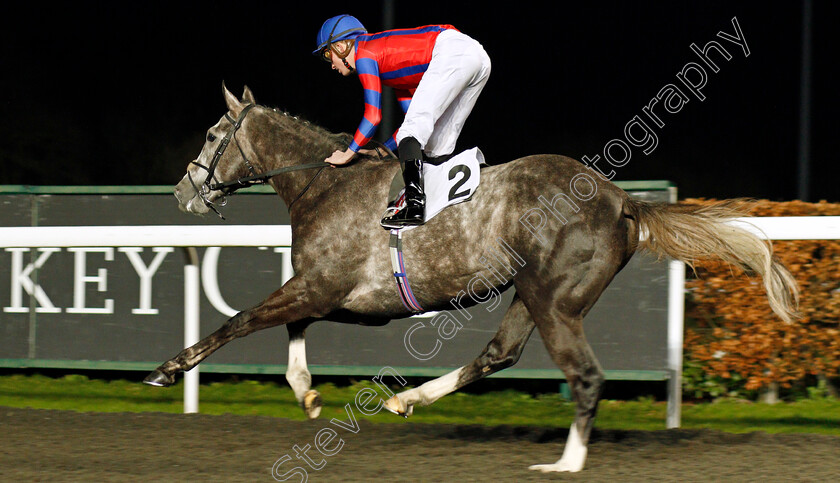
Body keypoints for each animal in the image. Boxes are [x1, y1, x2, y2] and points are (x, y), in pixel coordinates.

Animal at [141, 85, 796, 474]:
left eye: (210, 136)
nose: (181, 191)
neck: (323, 185)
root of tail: (621, 200)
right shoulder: (333, 293)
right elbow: (291, 329)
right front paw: (307, 393)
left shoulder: (323, 286)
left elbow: (241, 320)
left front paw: (168, 368)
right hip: (531, 293)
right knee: (499, 354)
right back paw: (407, 399)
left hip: (555, 301)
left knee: (585, 377)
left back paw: (566, 464)